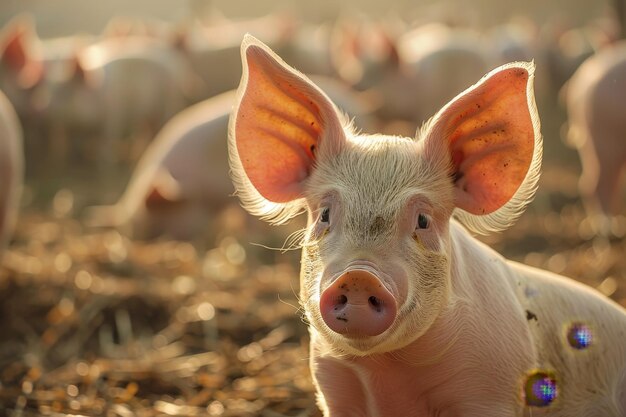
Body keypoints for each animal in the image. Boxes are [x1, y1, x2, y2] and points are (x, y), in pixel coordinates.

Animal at [228, 35, 624, 416]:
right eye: (325, 214)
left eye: (423, 220)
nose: (359, 276)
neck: (386, 371)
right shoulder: (333, 387)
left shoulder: (491, 389)